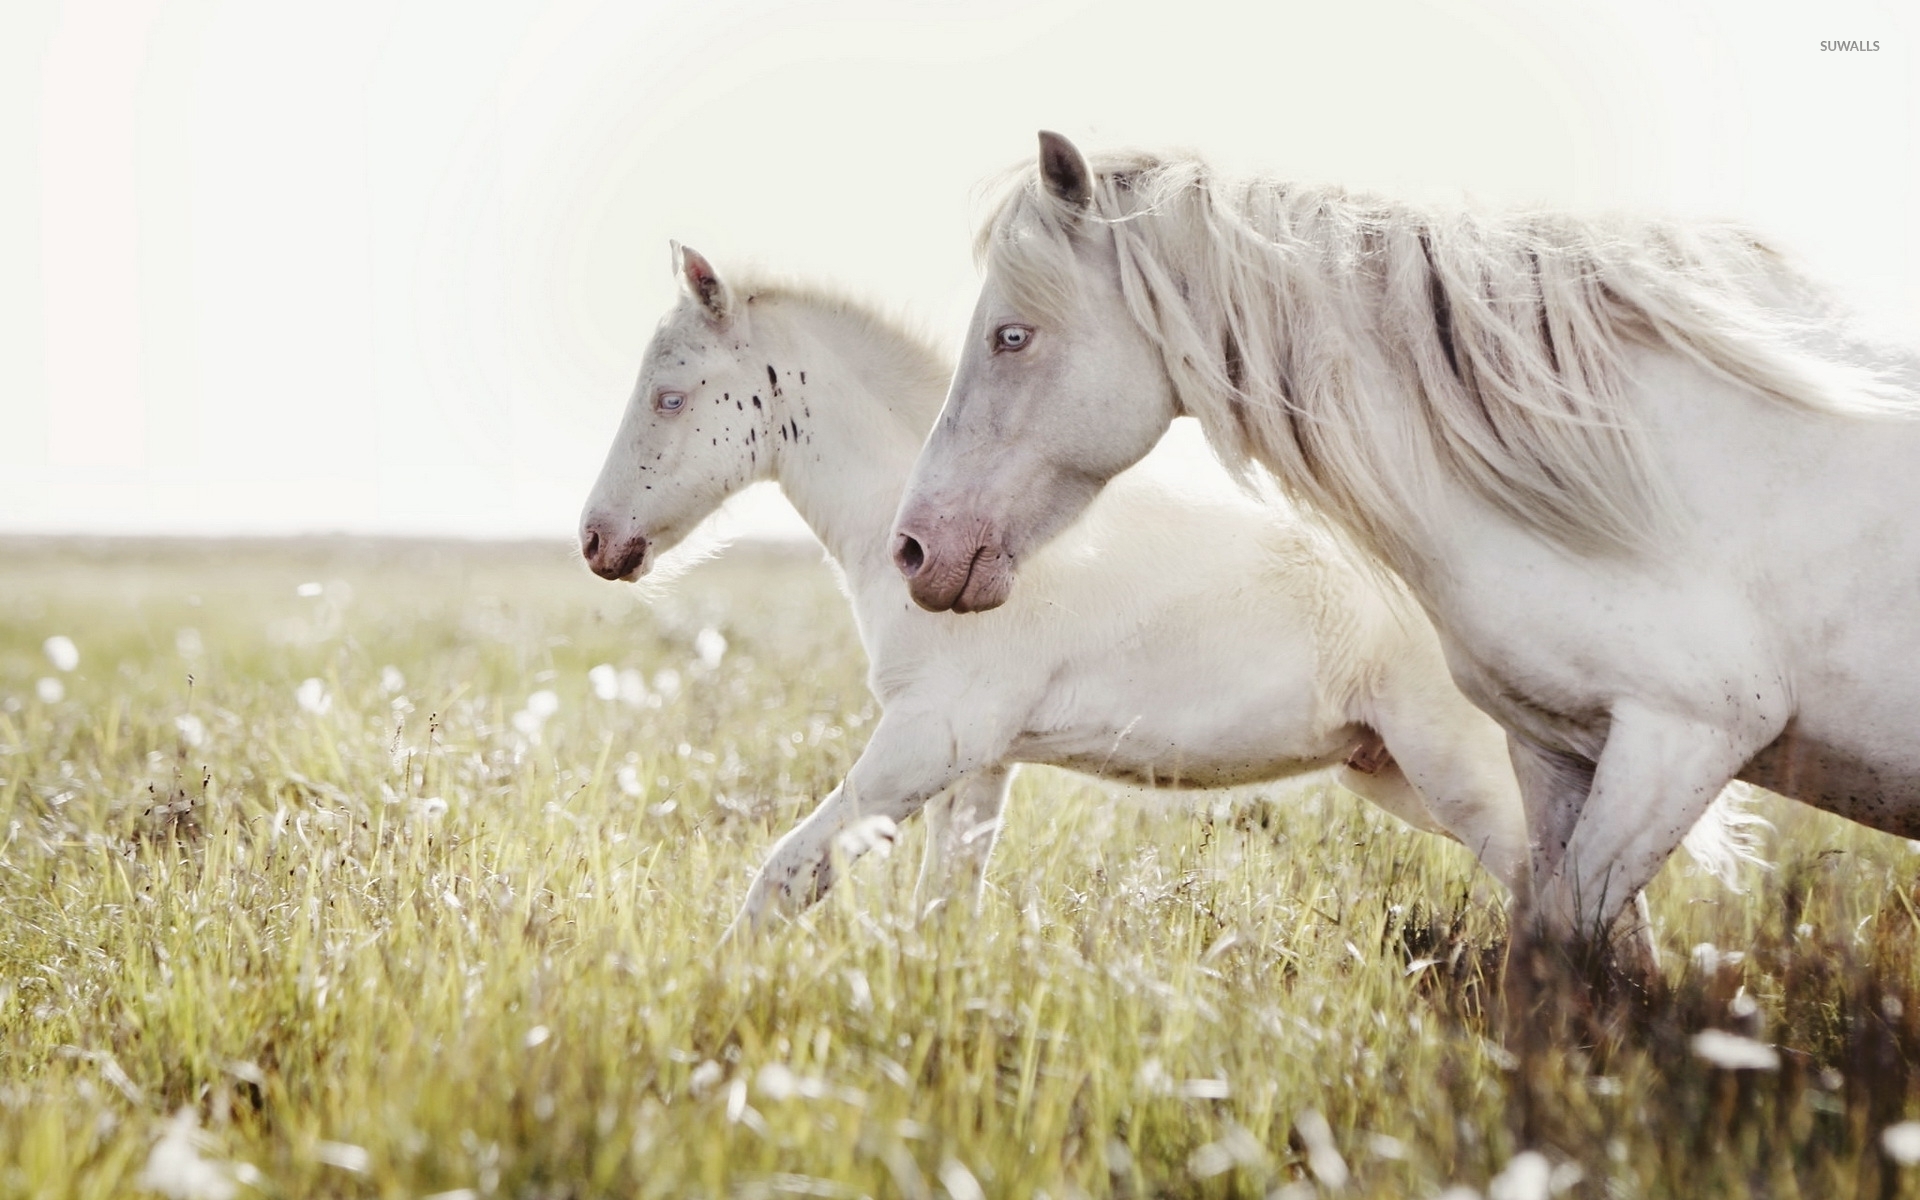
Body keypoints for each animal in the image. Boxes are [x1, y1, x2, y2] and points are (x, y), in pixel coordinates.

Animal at [572, 240, 1758, 925]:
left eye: (671, 396)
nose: (597, 541)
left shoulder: (929, 738)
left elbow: (784, 875)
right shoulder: (980, 761)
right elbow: (943, 907)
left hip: (1462, 773)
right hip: (1398, 778)